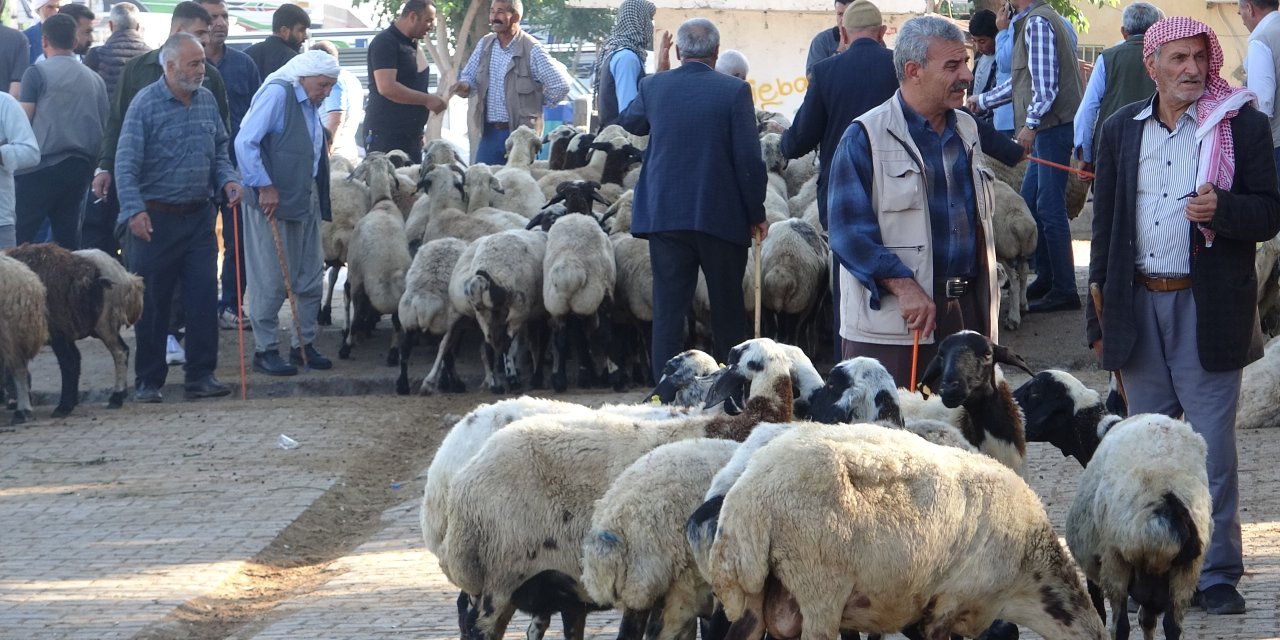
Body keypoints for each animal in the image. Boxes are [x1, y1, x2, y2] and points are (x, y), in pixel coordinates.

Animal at [1070, 412, 1208, 640]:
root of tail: (1165, 495)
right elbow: (1149, 621)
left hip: (1116, 561)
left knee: (1121, 626)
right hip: (1185, 573)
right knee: (1172, 626)